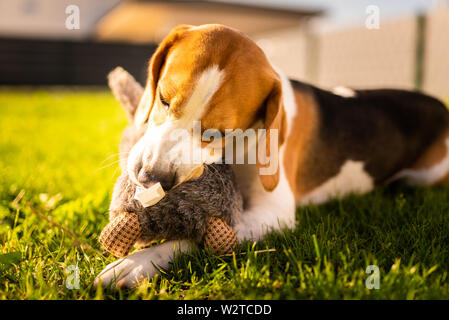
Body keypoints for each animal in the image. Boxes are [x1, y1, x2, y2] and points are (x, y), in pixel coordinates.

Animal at [96, 24, 448, 288]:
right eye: (164, 99)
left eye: (219, 132)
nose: (150, 177)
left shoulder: (273, 214)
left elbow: (201, 236)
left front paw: (138, 262)